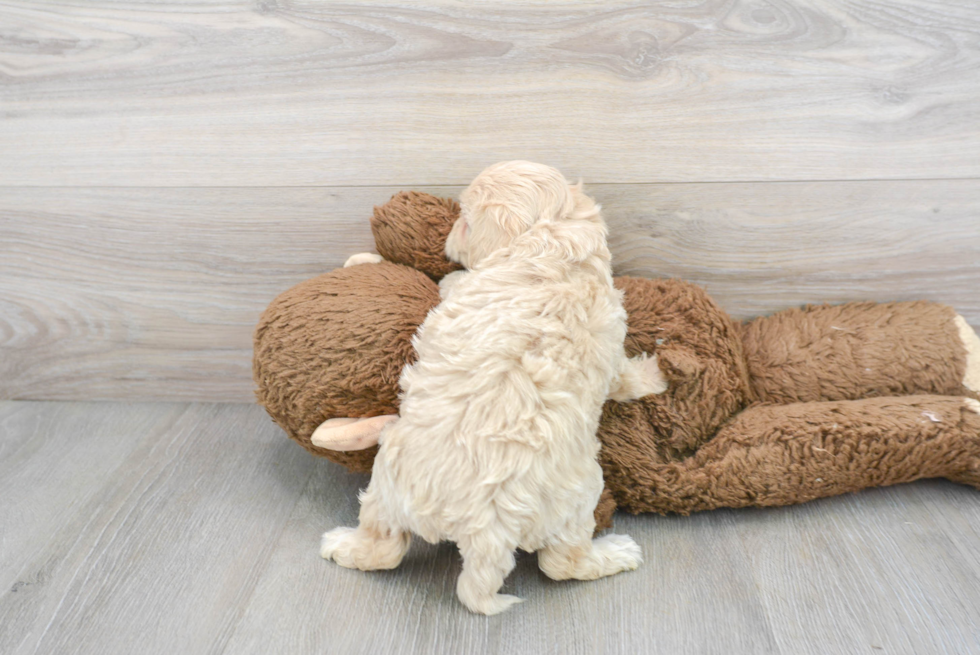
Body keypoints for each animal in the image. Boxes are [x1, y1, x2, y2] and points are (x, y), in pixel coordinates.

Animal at [322, 160, 668, 616]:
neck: (551, 243)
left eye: (466, 221)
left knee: (387, 546)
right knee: (559, 563)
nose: (449, 239)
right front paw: (655, 375)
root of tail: (484, 528)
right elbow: (623, 376)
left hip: (395, 482)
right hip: (566, 497)